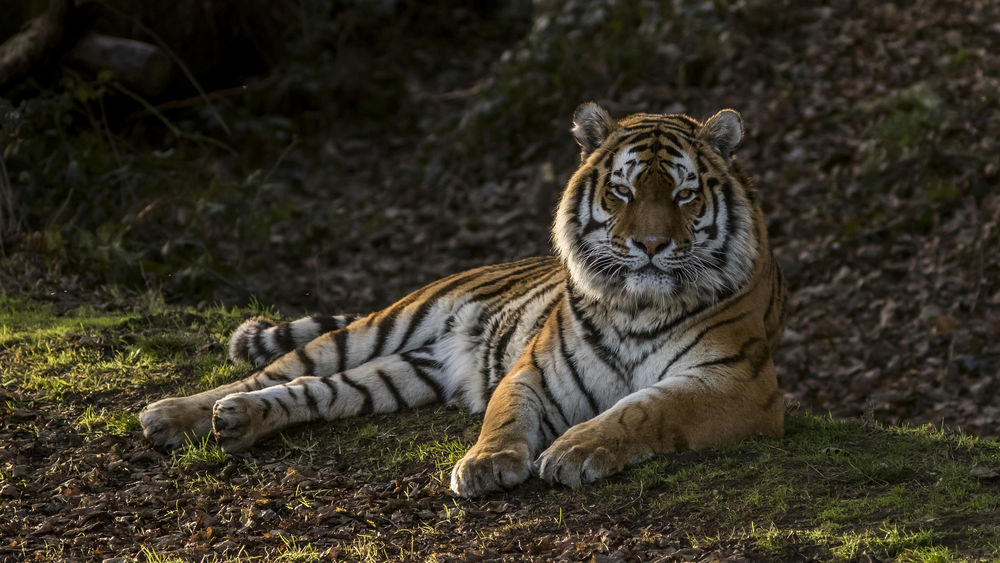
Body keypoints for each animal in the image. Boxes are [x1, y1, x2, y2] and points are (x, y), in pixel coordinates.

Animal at [140, 102, 786, 497]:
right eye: (623, 191)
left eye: (683, 195)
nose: (650, 245)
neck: (636, 305)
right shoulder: (535, 369)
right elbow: (505, 414)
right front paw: (485, 464)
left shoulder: (737, 383)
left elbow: (643, 408)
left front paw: (575, 449)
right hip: (383, 327)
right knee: (271, 373)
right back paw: (173, 415)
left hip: (399, 374)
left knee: (309, 391)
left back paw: (239, 423)